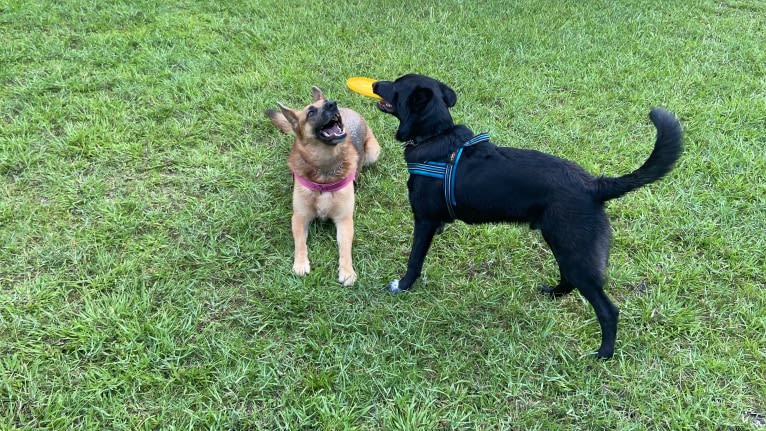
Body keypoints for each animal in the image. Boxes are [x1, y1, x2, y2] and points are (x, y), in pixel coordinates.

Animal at [268, 86, 380, 286]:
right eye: (311, 112)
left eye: (327, 102)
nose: (332, 103)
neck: (324, 171)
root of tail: (348, 110)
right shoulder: (299, 218)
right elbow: (300, 243)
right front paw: (300, 263)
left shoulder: (344, 221)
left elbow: (345, 249)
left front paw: (347, 271)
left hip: (373, 153)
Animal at [372, 73, 684, 358]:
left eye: (396, 85)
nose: (374, 84)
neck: (435, 135)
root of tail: (594, 185)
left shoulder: (423, 221)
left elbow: (414, 260)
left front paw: (403, 285)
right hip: (563, 244)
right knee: (568, 281)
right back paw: (554, 294)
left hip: (574, 252)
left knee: (608, 310)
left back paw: (604, 353)